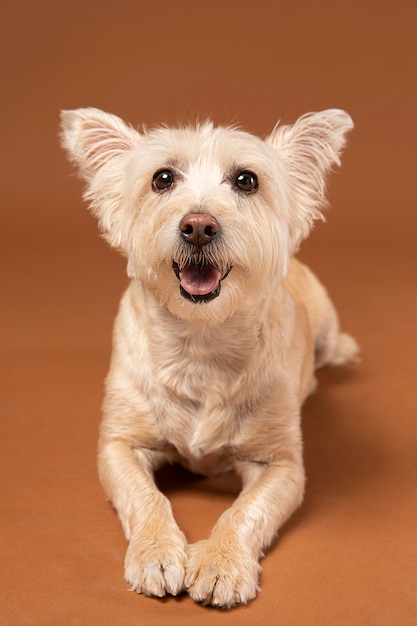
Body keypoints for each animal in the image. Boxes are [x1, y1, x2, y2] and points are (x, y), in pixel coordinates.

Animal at [60, 107, 360, 604]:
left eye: (246, 180)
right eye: (162, 178)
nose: (198, 225)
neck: (200, 342)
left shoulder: (281, 465)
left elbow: (245, 511)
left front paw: (222, 563)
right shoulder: (119, 446)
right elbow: (146, 497)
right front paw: (157, 552)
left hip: (326, 322)